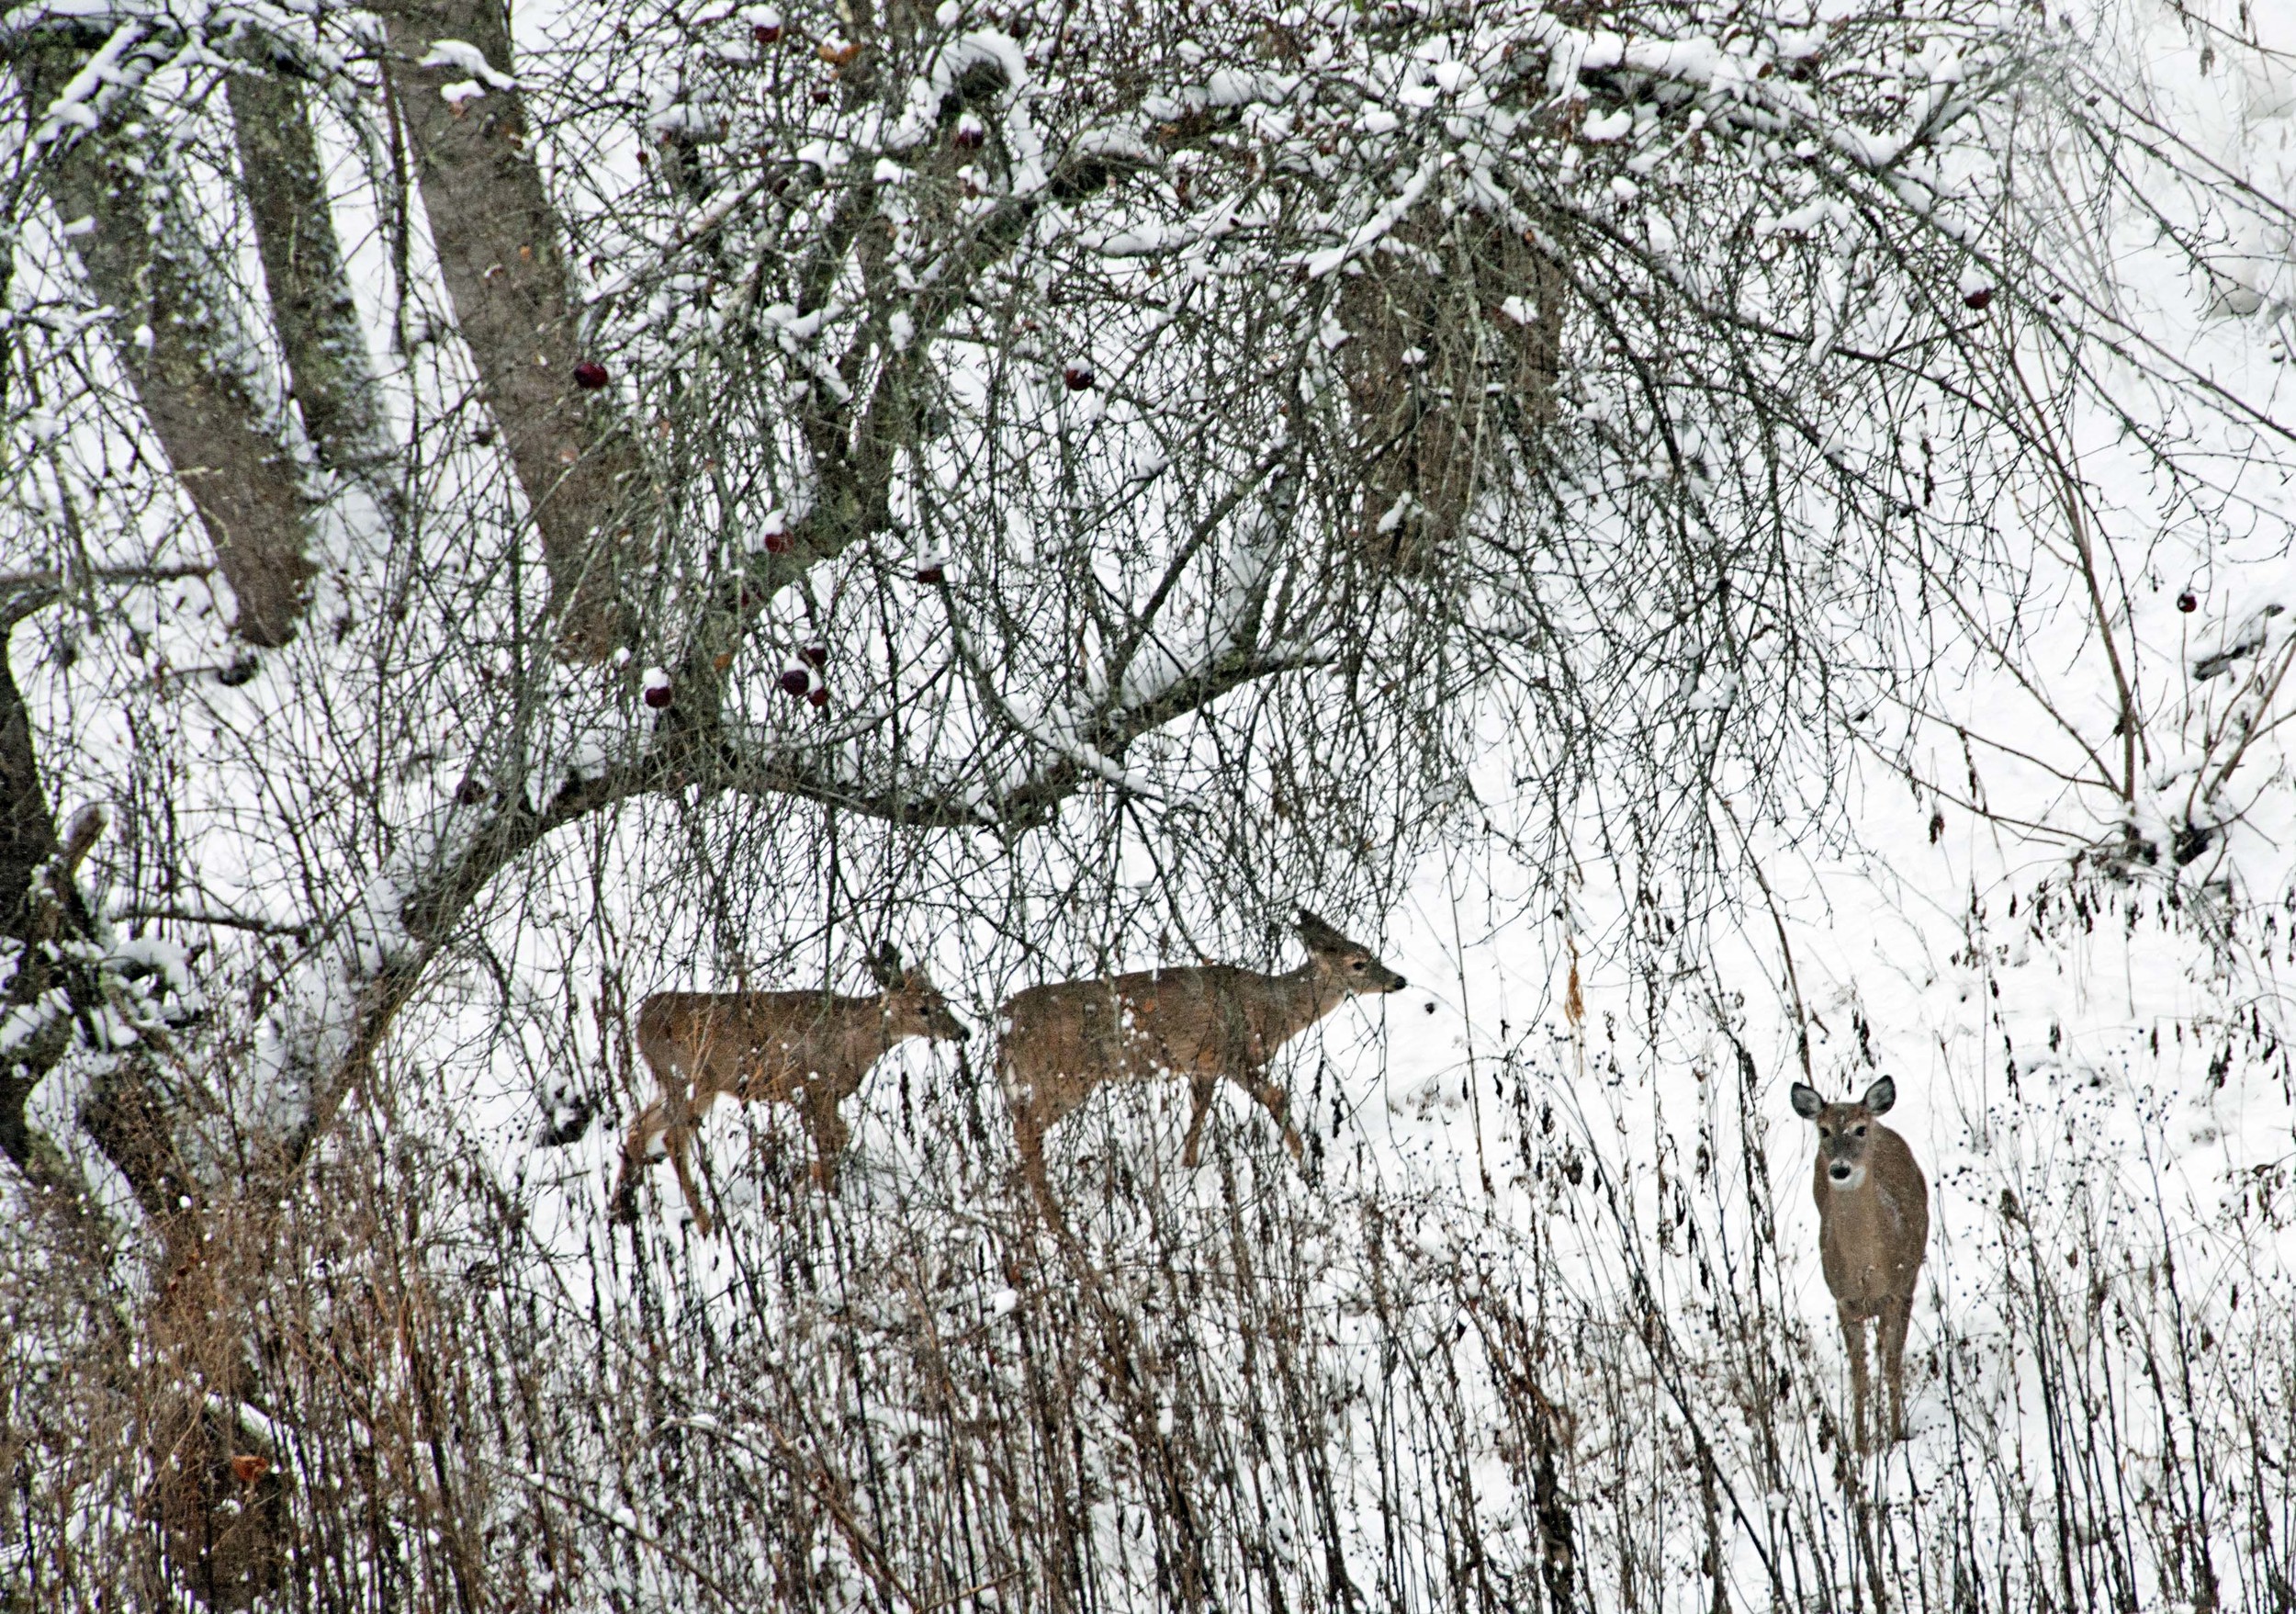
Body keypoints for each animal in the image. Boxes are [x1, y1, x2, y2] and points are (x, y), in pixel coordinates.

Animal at [606, 945, 964, 1239]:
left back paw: (619, 1211)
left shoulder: (816, 1096)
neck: (854, 1043)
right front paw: (821, 1190)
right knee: (673, 1138)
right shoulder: (814, 1088)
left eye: (942, 999)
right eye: (922, 1008)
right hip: (693, 1076)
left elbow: (840, 1136)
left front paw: (801, 1177)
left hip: (679, 1082)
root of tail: (639, 1021)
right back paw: (707, 1224)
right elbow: (832, 1141)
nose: (963, 1031)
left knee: (639, 1127)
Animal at [1001, 909, 1405, 1184]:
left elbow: (1198, 1113)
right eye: (1358, 963)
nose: (1399, 980)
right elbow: (1277, 1098)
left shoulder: (1204, 1064)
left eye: (1372, 952)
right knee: (1026, 1126)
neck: (1274, 1011)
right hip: (1062, 1075)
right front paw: (1305, 1164)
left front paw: (1188, 1166)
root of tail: (1005, 1024)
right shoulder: (1236, 1055)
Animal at [1791, 1083, 1919, 1450]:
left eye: (1860, 1130)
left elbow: (1892, 1365)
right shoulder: (1844, 1301)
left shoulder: (1897, 1293)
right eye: (1823, 1130)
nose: (1839, 1169)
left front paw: (1896, 1436)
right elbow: (1859, 1375)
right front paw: (1861, 1446)